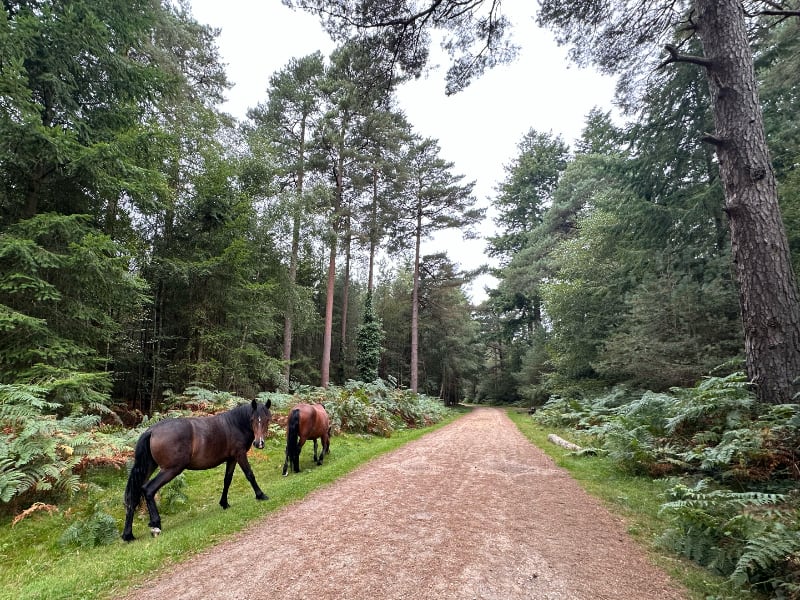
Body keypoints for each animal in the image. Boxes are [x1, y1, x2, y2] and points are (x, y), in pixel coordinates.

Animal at [121, 398, 272, 544]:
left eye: (267, 419)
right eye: (252, 419)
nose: (259, 443)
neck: (235, 424)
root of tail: (151, 431)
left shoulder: (231, 459)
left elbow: (227, 481)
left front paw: (224, 503)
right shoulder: (240, 455)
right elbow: (250, 474)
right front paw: (261, 495)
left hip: (149, 468)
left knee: (134, 496)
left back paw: (128, 535)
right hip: (171, 469)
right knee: (148, 489)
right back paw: (155, 525)